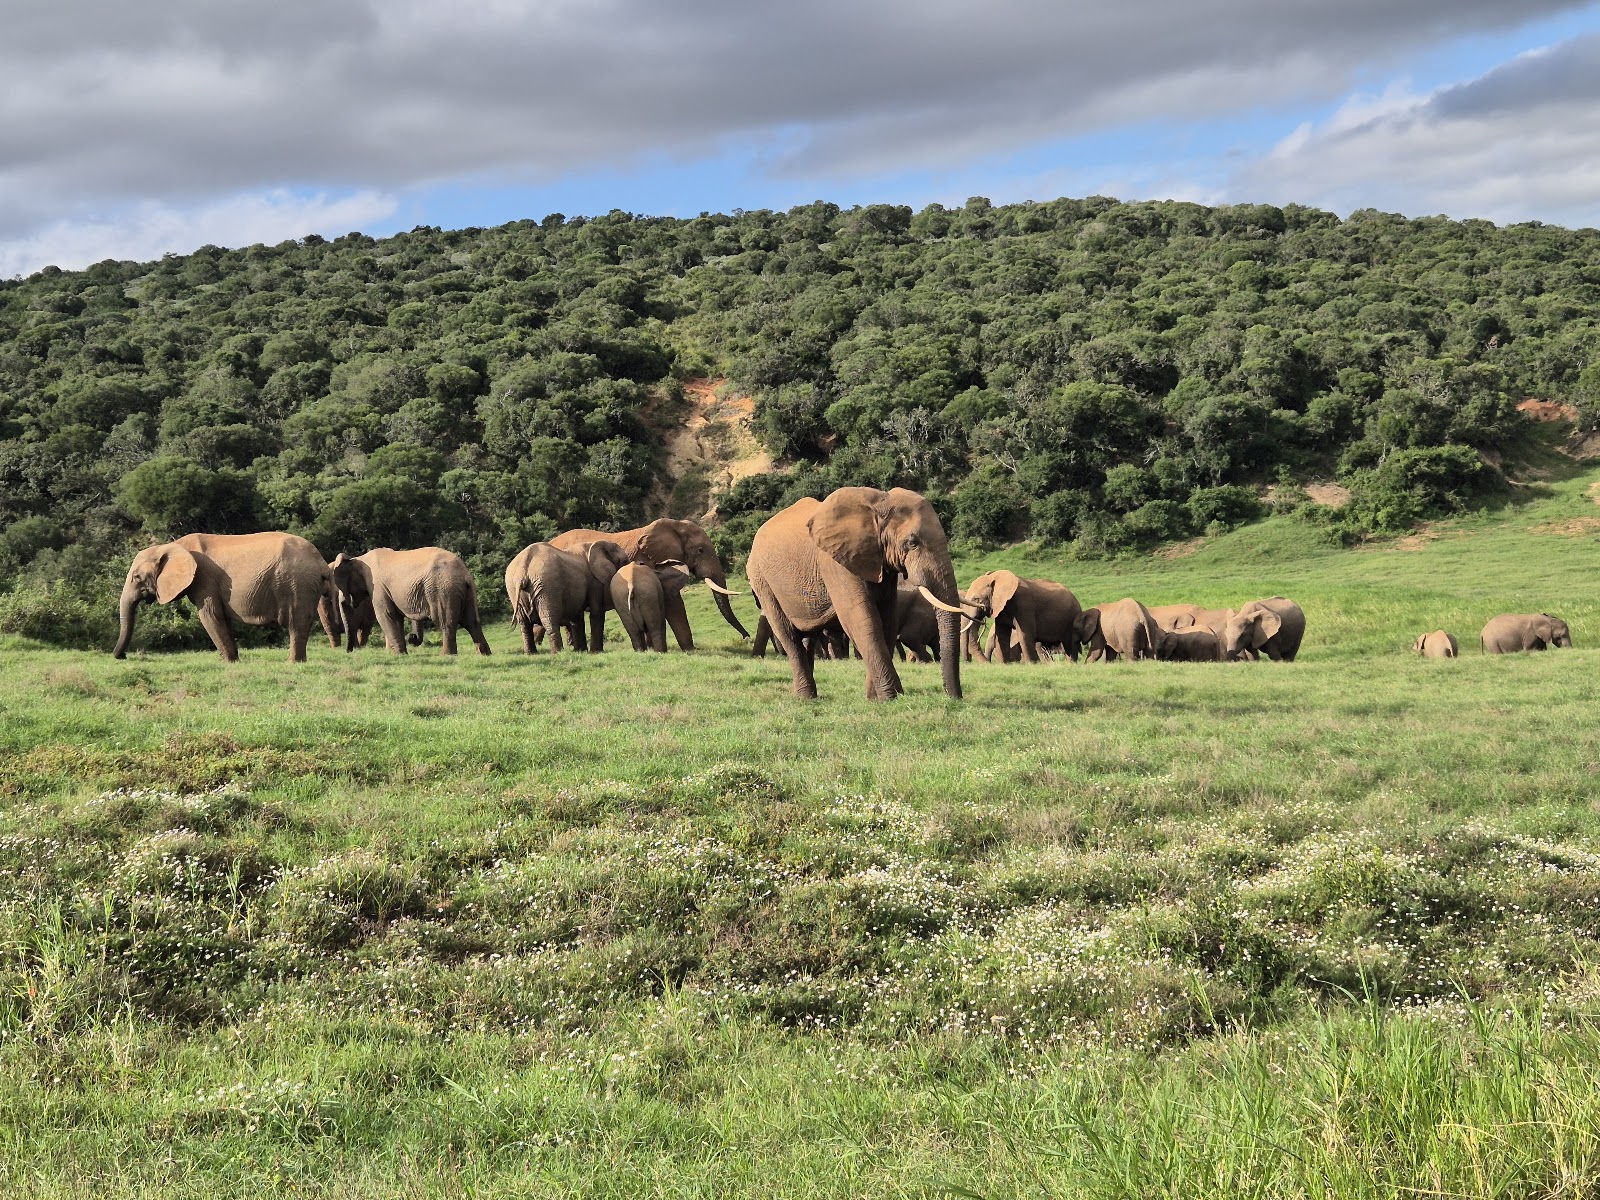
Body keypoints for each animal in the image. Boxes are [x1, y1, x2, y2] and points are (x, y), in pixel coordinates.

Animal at [113, 532, 336, 663]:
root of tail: (321, 562)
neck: (172, 545)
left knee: (297, 623)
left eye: (137, 577)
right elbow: (222, 618)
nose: (122, 656)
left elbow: (210, 615)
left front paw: (228, 662)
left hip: (298, 583)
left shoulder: (204, 578)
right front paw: (235, 661)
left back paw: (294, 663)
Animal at [330, 547, 490, 656]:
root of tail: (466, 574)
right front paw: (403, 653)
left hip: (443, 590)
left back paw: (446, 655)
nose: (349, 651)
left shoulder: (378, 587)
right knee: (471, 622)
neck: (359, 558)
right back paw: (484, 654)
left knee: (446, 622)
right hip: (463, 591)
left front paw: (399, 654)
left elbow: (385, 615)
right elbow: (396, 618)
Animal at [550, 518, 748, 650]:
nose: (746, 638)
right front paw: (690, 650)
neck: (674, 525)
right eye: (700, 550)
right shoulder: (649, 560)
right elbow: (673, 604)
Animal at [745, 486, 969, 700]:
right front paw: (891, 697)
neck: (878, 503)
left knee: (807, 638)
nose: (954, 698)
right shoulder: (835, 562)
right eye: (912, 543)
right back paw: (805, 697)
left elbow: (887, 621)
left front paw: (874, 698)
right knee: (789, 636)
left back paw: (809, 698)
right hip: (762, 580)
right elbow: (862, 620)